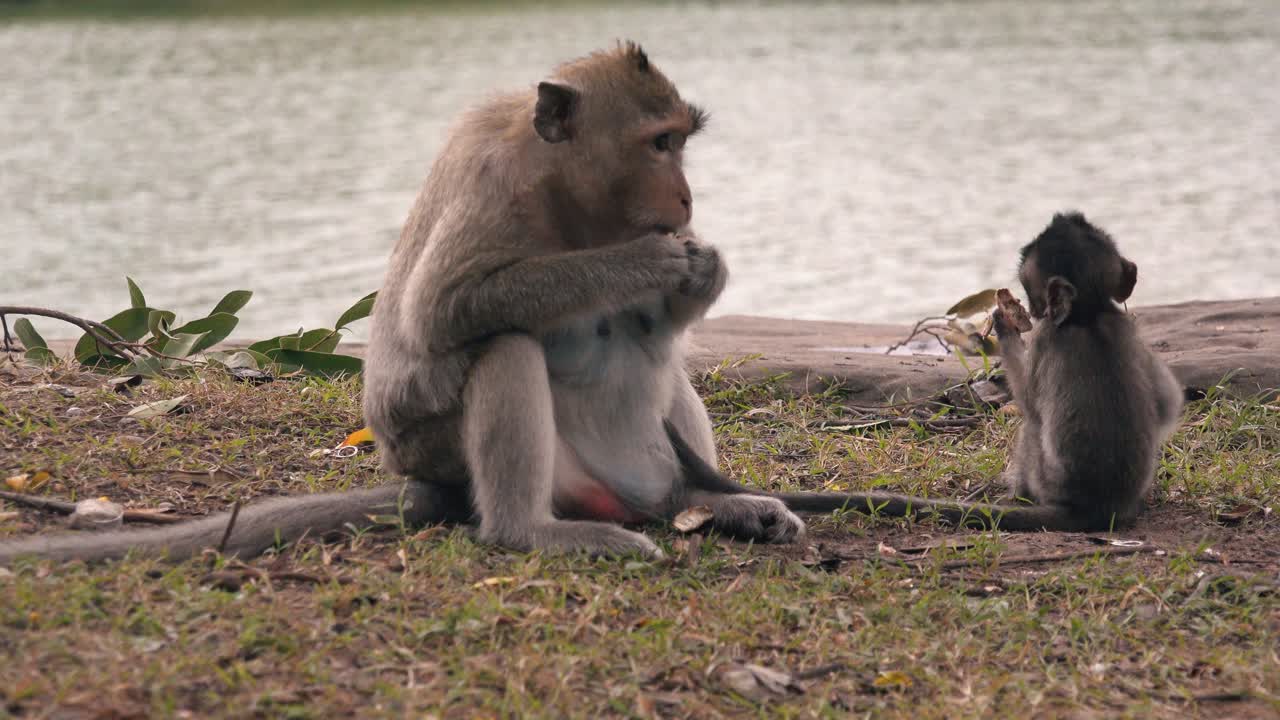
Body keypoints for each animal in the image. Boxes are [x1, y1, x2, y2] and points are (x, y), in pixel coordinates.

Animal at [0, 42, 809, 565]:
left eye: (681, 143)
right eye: (659, 143)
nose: (687, 198)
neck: (566, 196)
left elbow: (656, 328)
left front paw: (705, 269)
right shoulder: (495, 187)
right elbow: (444, 311)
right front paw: (644, 262)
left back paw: (708, 504)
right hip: (450, 451)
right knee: (505, 345)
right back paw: (529, 532)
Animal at [666, 212, 1185, 533]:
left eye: (1031, 292)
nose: (1029, 307)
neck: (1089, 314)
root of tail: (1095, 507)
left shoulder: (1050, 338)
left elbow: (1034, 407)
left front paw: (1004, 328)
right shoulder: (1126, 326)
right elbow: (1168, 404)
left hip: (1043, 474)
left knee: (1032, 428)